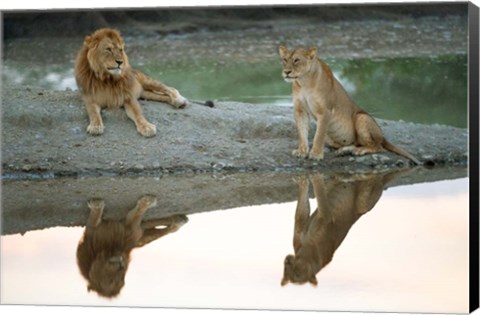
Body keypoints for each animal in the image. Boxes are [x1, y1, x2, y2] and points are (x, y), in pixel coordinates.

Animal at [278, 47, 420, 165]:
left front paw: (316, 154)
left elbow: (318, 136)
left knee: (378, 147)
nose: (286, 72)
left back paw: (359, 151)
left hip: (361, 117)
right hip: (331, 137)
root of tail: (383, 136)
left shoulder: (325, 111)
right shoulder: (300, 110)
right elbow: (302, 133)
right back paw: (344, 151)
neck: (304, 82)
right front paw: (302, 151)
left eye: (296, 60)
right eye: (284, 59)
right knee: (355, 143)